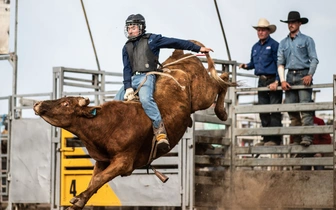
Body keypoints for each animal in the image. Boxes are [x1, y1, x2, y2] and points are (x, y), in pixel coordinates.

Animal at [32, 46, 235, 210]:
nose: (37, 104)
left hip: (203, 95)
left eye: (66, 103)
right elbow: (95, 180)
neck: (106, 124)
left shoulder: (124, 162)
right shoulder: (102, 161)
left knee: (220, 82)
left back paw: (222, 111)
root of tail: (180, 55)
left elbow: (99, 179)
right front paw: (79, 201)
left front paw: (78, 199)